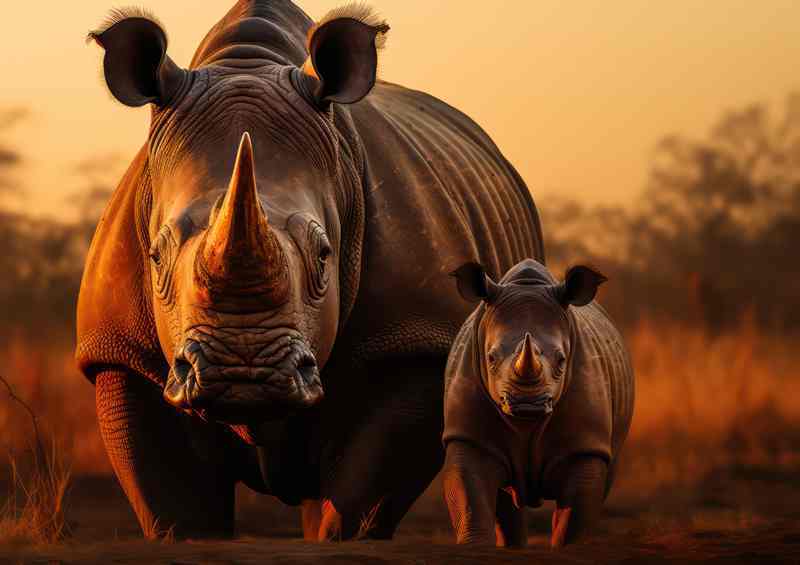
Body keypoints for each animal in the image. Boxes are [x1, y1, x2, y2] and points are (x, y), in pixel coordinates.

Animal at [77, 0, 544, 539]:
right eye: (155, 256)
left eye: (324, 255)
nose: (243, 372)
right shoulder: (123, 354)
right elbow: (179, 513)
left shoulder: (412, 341)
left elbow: (357, 504)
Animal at [443, 259, 634, 546]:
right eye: (490, 358)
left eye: (562, 360)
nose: (527, 405)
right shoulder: (468, 437)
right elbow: (471, 504)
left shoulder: (586, 448)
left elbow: (576, 521)